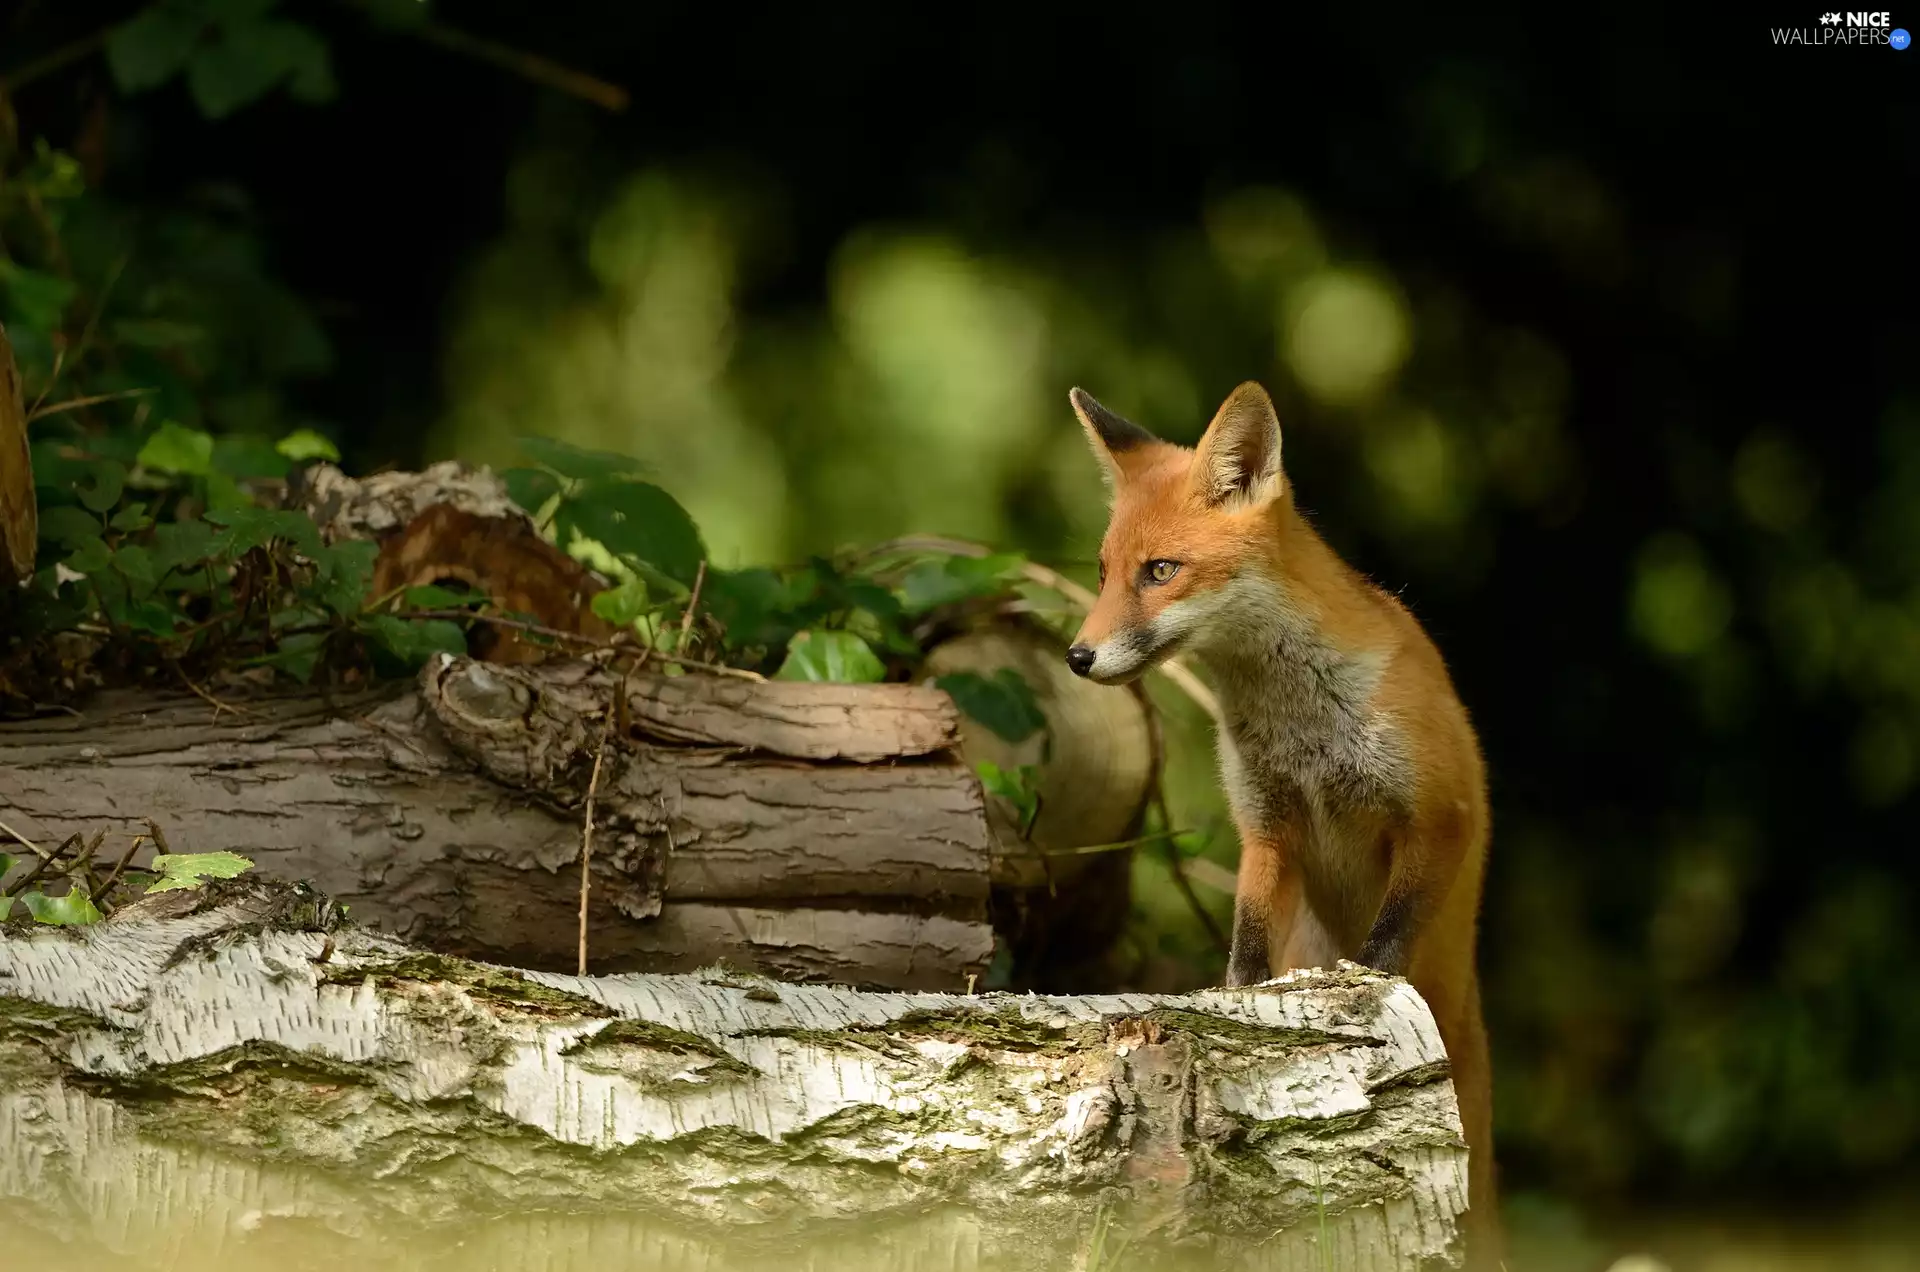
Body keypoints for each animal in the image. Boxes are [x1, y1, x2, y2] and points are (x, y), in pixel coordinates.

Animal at [1064, 380, 1500, 1270]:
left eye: (1161, 571)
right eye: (1103, 572)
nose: (1077, 657)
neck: (1300, 726)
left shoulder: (1438, 817)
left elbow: (1386, 944)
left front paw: (1365, 999)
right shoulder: (1268, 826)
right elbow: (1246, 941)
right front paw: (1235, 1011)